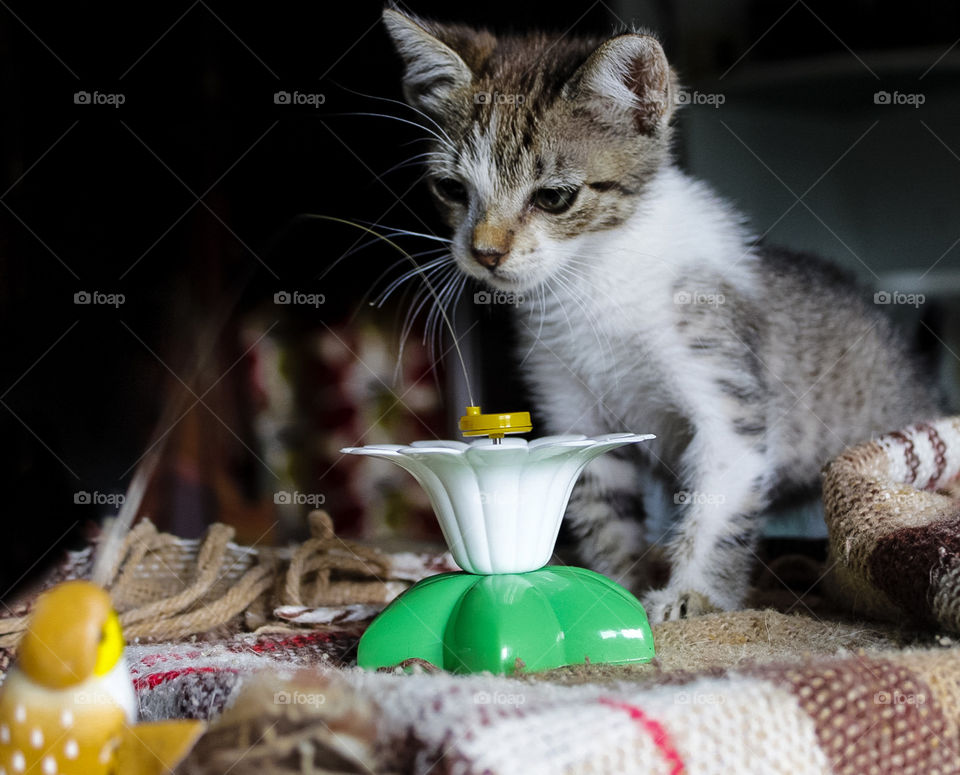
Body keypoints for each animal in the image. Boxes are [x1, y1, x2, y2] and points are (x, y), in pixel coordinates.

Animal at [380, 9, 936, 620]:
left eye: (554, 198)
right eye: (451, 189)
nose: (485, 252)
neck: (592, 282)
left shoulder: (724, 392)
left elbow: (720, 502)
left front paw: (692, 593)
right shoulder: (571, 404)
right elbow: (602, 507)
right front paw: (612, 589)